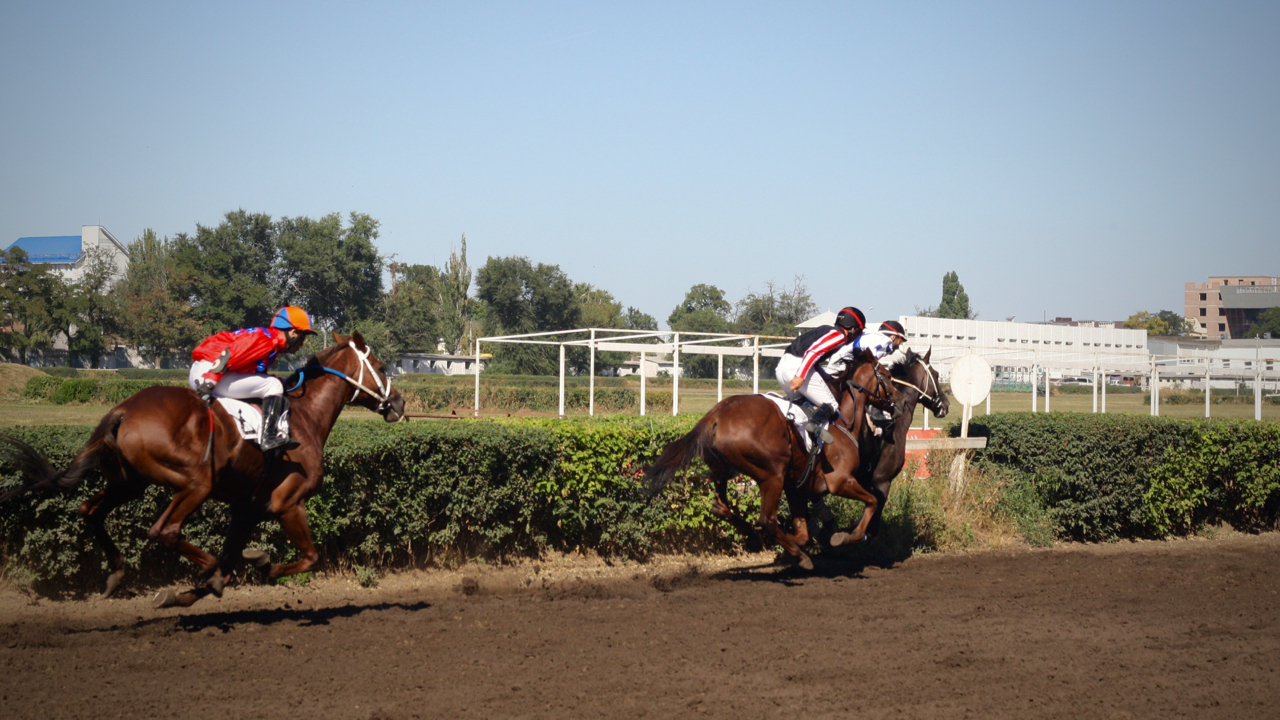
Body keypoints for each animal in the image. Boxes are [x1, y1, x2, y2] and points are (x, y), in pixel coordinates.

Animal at [0, 330, 401, 604]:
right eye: (382, 367)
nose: (398, 402)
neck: (304, 417)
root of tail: (124, 409)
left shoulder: (247, 508)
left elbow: (232, 559)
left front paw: (192, 592)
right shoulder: (288, 503)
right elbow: (309, 557)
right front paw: (260, 565)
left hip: (129, 482)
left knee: (90, 510)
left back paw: (115, 573)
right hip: (195, 482)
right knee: (164, 530)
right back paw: (202, 565)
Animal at [645, 351, 896, 566]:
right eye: (888, 375)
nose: (895, 402)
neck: (842, 422)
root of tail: (714, 416)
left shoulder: (797, 489)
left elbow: (803, 534)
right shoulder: (840, 481)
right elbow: (873, 501)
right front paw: (849, 536)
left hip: (722, 470)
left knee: (721, 508)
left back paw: (752, 536)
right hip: (772, 474)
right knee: (767, 520)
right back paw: (798, 556)